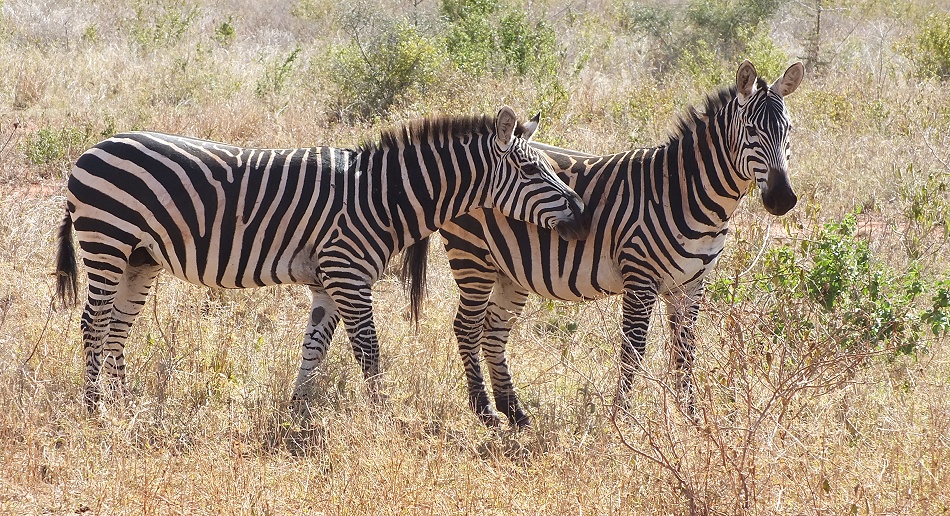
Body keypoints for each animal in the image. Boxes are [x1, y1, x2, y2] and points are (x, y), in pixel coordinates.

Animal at [54, 106, 589, 409]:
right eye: (529, 169)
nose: (583, 217)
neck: (383, 196)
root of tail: (93, 149)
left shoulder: (327, 281)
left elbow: (314, 348)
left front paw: (298, 414)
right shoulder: (348, 273)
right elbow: (369, 351)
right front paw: (384, 418)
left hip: (139, 257)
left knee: (117, 325)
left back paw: (124, 405)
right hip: (108, 240)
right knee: (93, 321)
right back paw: (94, 409)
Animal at [402, 61, 804, 426]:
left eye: (789, 131)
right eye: (751, 130)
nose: (782, 199)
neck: (687, 192)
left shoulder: (691, 283)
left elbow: (684, 351)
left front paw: (692, 419)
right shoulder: (640, 277)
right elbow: (633, 351)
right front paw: (621, 421)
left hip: (509, 270)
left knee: (493, 330)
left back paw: (514, 413)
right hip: (473, 257)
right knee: (466, 327)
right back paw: (484, 411)